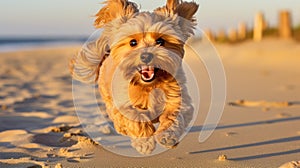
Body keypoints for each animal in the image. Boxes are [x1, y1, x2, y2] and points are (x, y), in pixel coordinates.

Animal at [69, 0, 198, 154]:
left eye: (160, 41)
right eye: (133, 42)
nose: (146, 56)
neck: (149, 85)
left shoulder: (178, 99)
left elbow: (173, 116)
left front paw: (167, 137)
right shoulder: (123, 103)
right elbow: (136, 118)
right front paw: (145, 142)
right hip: (108, 98)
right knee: (116, 117)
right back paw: (122, 129)